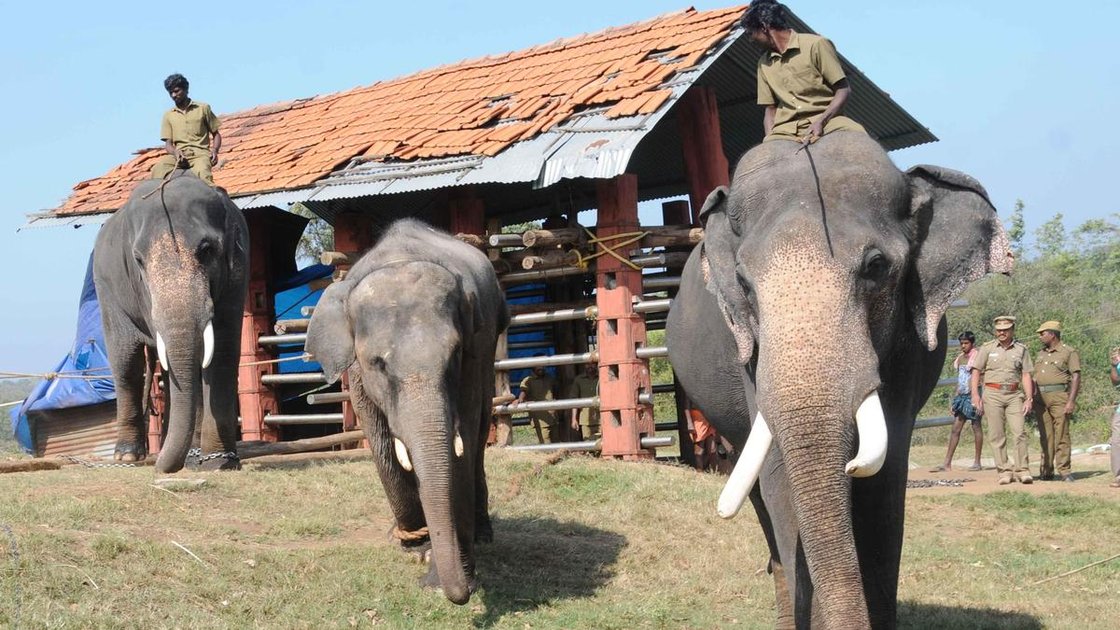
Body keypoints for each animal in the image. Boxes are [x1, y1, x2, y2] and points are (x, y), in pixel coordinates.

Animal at [93, 171, 248, 474]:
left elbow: (222, 351)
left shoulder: (238, 267)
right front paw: (198, 459)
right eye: (138, 260)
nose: (161, 468)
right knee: (126, 364)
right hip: (106, 291)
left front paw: (220, 462)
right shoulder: (142, 292)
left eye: (207, 250)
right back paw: (127, 456)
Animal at [305, 218, 509, 605]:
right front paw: (416, 547)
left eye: (453, 355)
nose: (460, 593)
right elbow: (380, 440)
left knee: (478, 435)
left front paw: (445, 568)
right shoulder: (358, 374)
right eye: (378, 363)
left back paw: (483, 534)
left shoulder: (474, 352)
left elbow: (461, 441)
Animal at [666, 131, 1012, 628]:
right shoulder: (749, 354)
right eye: (744, 284)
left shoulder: (907, 345)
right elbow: (780, 482)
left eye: (876, 267)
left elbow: (885, 485)